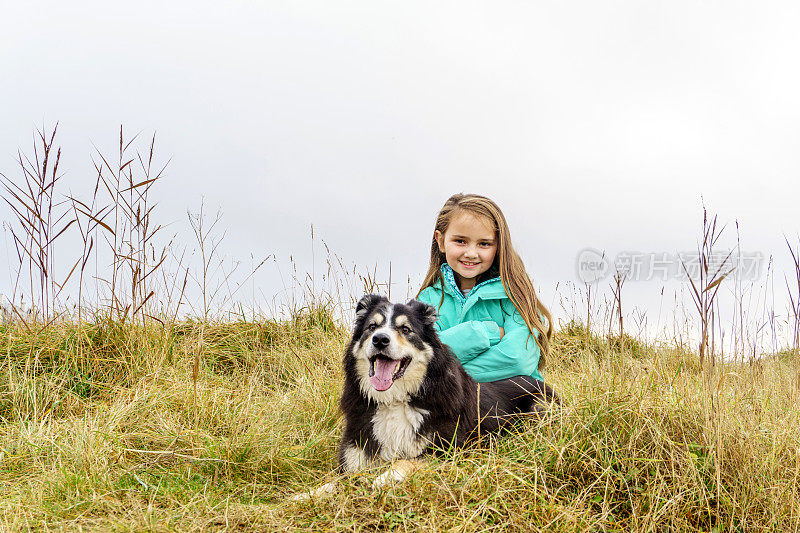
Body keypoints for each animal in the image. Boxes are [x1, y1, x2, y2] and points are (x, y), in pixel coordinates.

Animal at [292, 294, 556, 496]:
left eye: (405, 329)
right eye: (372, 327)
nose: (380, 340)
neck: (394, 400)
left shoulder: (450, 451)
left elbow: (408, 460)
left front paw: (387, 476)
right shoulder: (356, 453)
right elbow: (336, 482)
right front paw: (306, 495)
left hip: (540, 407)